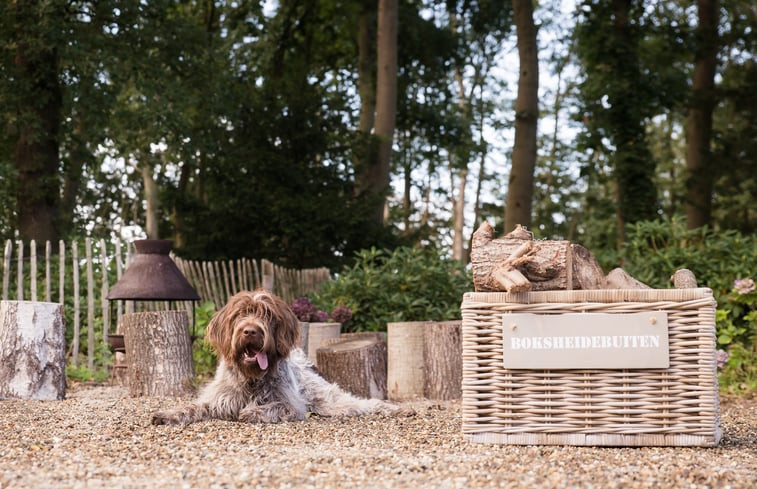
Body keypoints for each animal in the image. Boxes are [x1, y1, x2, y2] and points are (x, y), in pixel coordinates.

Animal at [151, 290, 404, 424]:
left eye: (267, 315)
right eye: (240, 314)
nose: (250, 331)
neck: (251, 379)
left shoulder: (291, 405)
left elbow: (271, 406)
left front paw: (251, 411)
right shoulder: (219, 400)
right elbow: (192, 407)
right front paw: (168, 414)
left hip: (327, 401)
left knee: (363, 404)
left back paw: (398, 409)